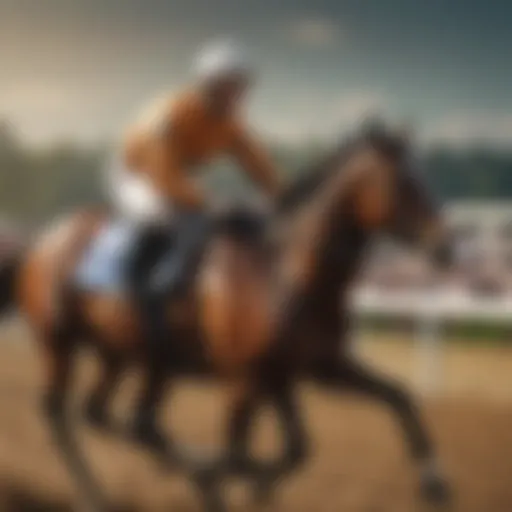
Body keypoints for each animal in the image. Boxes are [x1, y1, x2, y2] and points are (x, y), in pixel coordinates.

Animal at [0, 122, 454, 510]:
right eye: (403, 184)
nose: (445, 247)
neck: (283, 272)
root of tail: (40, 241)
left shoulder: (309, 368)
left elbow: (386, 402)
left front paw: (435, 482)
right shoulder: (245, 378)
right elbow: (242, 453)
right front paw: (217, 479)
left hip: (125, 354)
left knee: (116, 417)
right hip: (60, 341)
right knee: (62, 414)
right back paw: (98, 494)